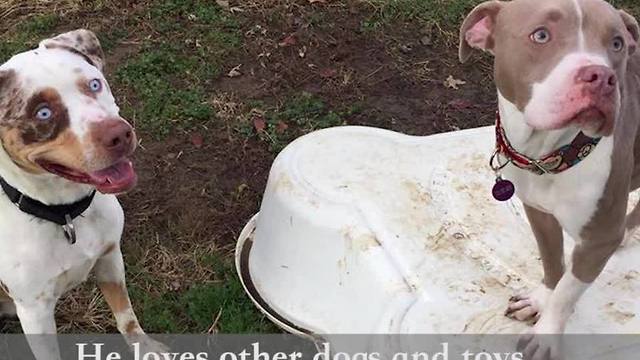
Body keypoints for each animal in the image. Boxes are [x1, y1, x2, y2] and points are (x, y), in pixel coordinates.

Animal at [0, 30, 165, 360]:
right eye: (43, 113)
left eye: (94, 84)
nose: (119, 135)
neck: (65, 214)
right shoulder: (35, 313)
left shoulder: (110, 257)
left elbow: (127, 318)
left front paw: (147, 350)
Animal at [460, 0, 640, 358]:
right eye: (541, 35)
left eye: (616, 43)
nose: (601, 77)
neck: (549, 153)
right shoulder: (538, 211)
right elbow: (552, 260)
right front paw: (540, 299)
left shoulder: (598, 240)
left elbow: (568, 290)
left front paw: (546, 334)